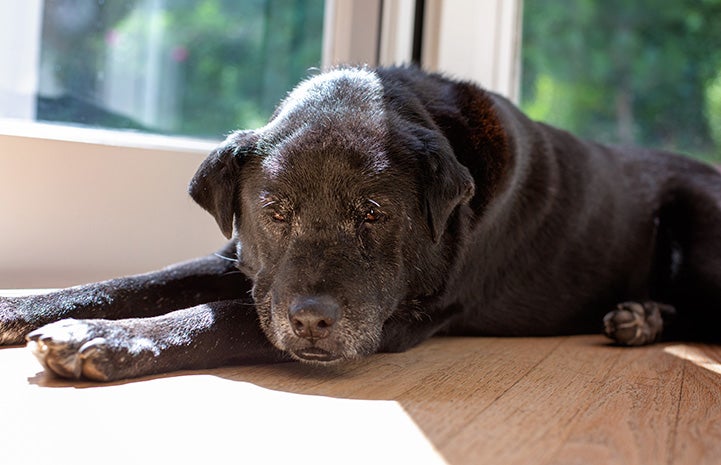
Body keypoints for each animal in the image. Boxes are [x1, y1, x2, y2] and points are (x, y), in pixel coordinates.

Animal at [1, 66, 720, 380]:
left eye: (374, 213)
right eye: (275, 209)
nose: (313, 320)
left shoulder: (393, 322)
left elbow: (221, 316)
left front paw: (107, 339)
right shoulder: (243, 261)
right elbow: (136, 280)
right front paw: (23, 306)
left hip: (697, 227)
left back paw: (643, 318)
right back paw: (639, 318)